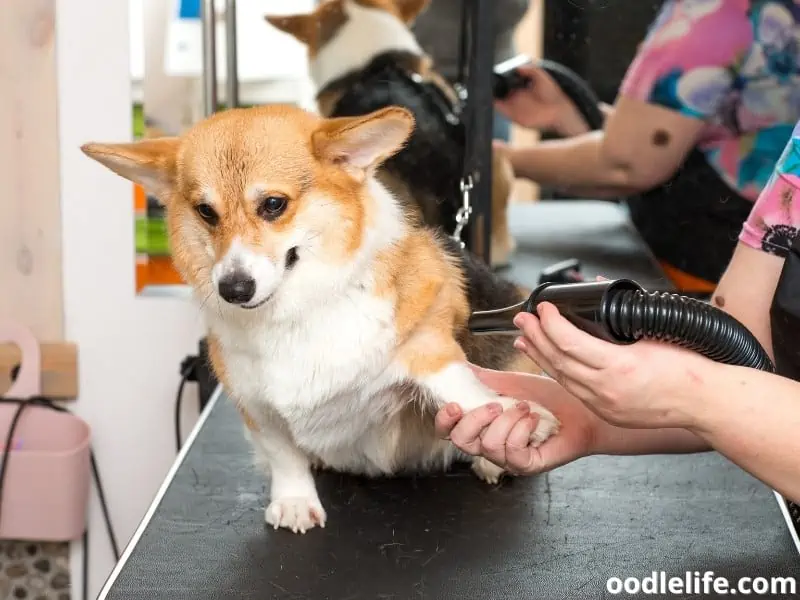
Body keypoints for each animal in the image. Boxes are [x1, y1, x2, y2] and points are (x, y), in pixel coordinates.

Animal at [79, 103, 556, 536]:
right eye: (205, 212)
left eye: (274, 204)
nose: (234, 289)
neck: (295, 312)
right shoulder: (255, 404)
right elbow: (283, 454)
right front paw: (294, 501)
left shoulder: (424, 343)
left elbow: (467, 389)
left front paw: (520, 416)